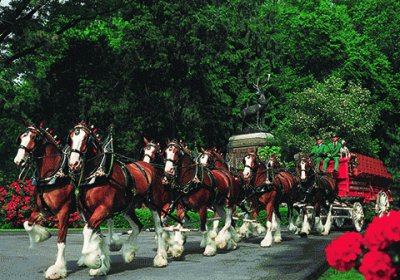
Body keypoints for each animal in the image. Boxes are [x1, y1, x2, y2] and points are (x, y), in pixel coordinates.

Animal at [13, 125, 74, 280]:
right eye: (21, 137)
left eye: (34, 138)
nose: (18, 160)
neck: (51, 177)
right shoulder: (41, 210)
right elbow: (27, 224)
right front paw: (43, 235)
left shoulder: (64, 212)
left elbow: (61, 240)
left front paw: (58, 269)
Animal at [67, 122, 170, 276]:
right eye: (71, 138)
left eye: (85, 139)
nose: (73, 163)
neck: (96, 175)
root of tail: (148, 167)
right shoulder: (87, 212)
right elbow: (97, 235)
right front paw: (101, 264)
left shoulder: (103, 209)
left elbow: (88, 231)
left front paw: (93, 261)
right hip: (127, 208)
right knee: (138, 226)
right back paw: (128, 252)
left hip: (153, 205)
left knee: (158, 229)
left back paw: (160, 258)